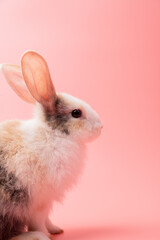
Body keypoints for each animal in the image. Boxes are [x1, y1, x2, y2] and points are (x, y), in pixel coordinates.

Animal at [0, 51, 102, 240]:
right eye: (76, 113)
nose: (101, 127)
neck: (53, 134)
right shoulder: (39, 203)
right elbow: (38, 222)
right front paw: (44, 235)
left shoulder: (48, 202)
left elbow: (47, 219)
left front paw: (56, 230)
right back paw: (32, 235)